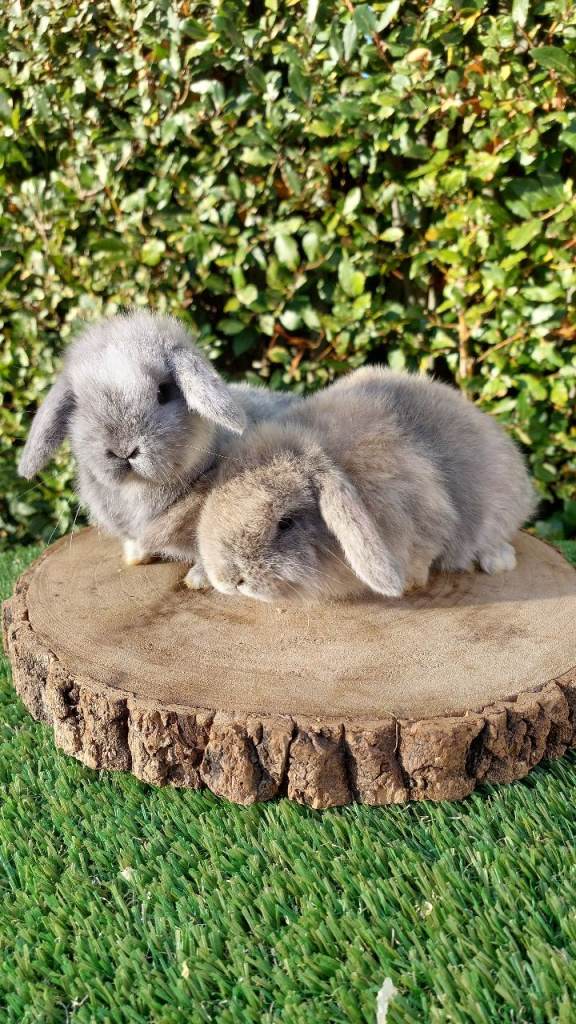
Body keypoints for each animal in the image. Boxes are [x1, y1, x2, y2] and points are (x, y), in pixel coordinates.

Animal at [17, 309, 297, 583]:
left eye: (163, 392)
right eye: (78, 404)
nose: (123, 451)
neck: (139, 490)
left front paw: (198, 579)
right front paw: (135, 557)